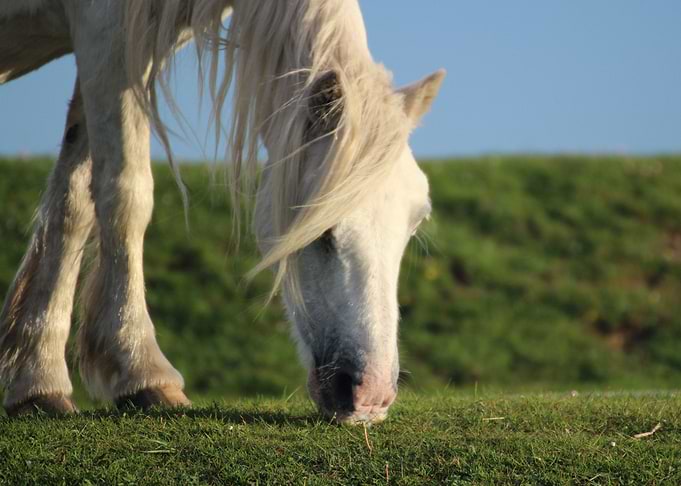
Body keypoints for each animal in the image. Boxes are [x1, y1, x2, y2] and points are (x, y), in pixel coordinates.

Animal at [0, 0, 445, 424]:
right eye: (321, 230)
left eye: (412, 225)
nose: (371, 396)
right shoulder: (107, 31)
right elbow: (125, 191)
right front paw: (142, 372)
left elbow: (73, 198)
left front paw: (37, 382)